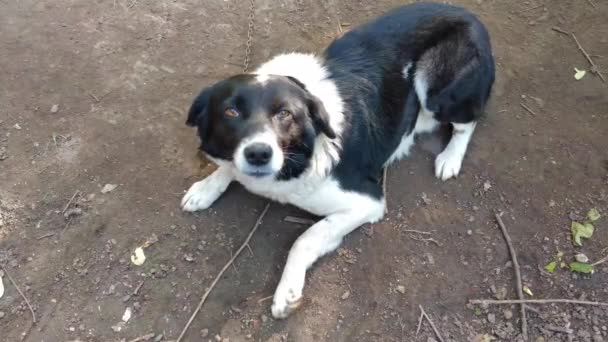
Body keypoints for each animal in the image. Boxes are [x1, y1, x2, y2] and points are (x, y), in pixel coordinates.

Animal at [180, 2, 494, 318]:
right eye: (231, 112)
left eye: (285, 114)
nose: (258, 153)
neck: (301, 155)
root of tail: (469, 15)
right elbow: (227, 167)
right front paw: (206, 187)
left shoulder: (367, 202)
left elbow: (304, 239)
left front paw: (287, 292)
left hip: (438, 88)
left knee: (468, 121)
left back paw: (450, 156)